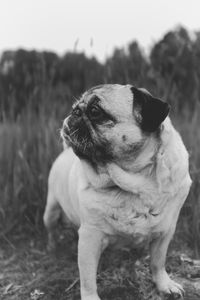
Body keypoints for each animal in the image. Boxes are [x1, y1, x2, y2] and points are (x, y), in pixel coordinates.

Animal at [44, 84, 192, 300]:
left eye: (95, 111)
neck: (135, 183)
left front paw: (164, 284)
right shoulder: (90, 237)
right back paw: (53, 247)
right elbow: (88, 279)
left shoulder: (165, 231)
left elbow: (158, 262)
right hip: (51, 210)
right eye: (76, 109)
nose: (74, 112)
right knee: (52, 229)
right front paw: (90, 297)